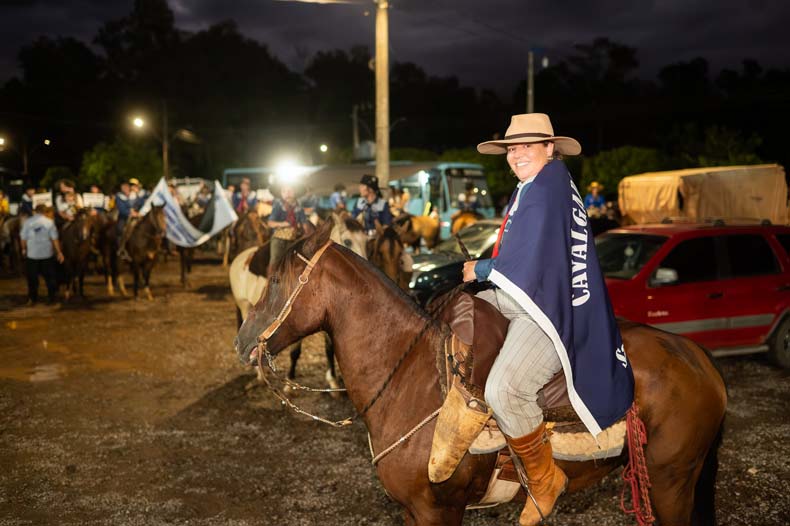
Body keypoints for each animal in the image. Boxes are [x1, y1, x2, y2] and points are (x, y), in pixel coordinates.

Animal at [230, 213, 369, 392]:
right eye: (347, 241)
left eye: (366, 241)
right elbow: (295, 352)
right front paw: (289, 383)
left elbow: (329, 348)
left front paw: (332, 381)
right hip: (243, 306)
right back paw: (260, 376)